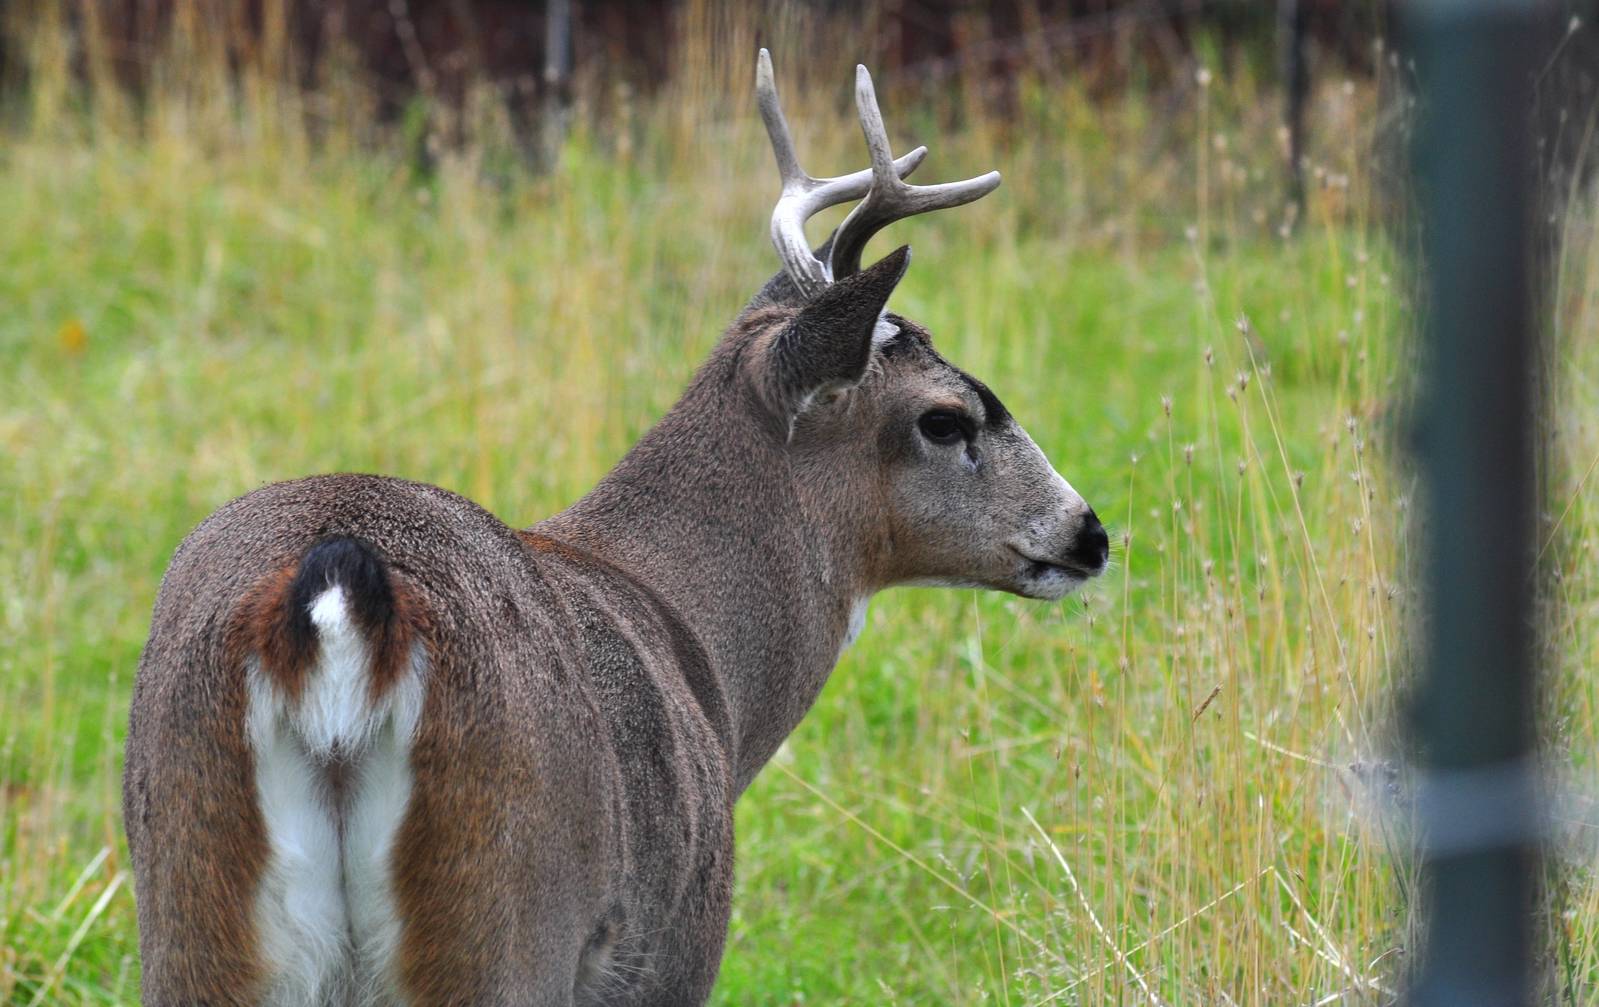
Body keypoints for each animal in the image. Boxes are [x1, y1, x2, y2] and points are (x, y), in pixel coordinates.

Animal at [123, 50, 1108, 1007]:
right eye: (944, 418)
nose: (1088, 531)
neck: (703, 658)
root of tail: (338, 600)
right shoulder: (677, 939)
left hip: (189, 909)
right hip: (508, 919)